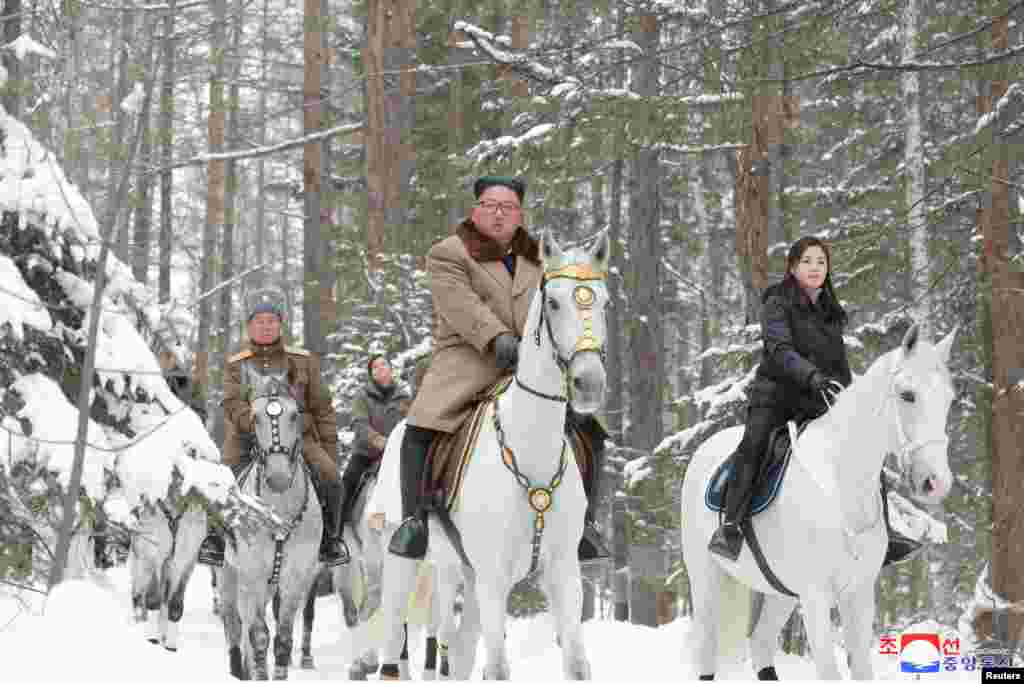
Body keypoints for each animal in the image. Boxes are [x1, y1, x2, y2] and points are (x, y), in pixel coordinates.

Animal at [219, 370, 319, 679]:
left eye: (295, 415)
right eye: (255, 418)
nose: (278, 477)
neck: (277, 515)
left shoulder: (295, 578)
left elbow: (283, 638)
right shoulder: (251, 574)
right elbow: (258, 635)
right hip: (230, 575)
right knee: (233, 623)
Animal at [380, 231, 610, 679]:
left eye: (605, 302)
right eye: (554, 303)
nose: (589, 382)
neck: (530, 449)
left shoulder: (563, 573)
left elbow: (575, 663)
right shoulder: (492, 576)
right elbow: (498, 669)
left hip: (466, 574)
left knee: (460, 654)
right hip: (412, 563)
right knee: (395, 640)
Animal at [684, 325, 954, 679]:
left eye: (948, 399)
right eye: (907, 395)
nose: (937, 482)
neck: (841, 485)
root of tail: (704, 449)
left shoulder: (858, 595)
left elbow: (862, 669)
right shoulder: (815, 597)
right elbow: (829, 671)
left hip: (781, 592)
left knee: (761, 644)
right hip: (705, 578)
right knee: (707, 651)